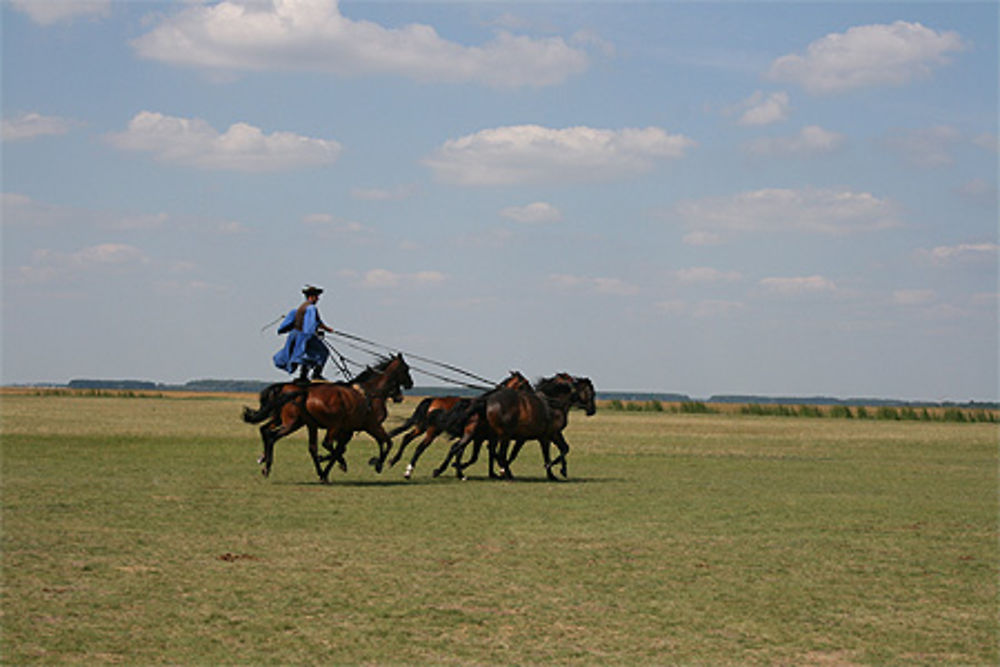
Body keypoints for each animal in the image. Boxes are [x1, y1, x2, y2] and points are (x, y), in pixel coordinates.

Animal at [240, 354, 412, 480]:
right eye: (406, 369)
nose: (402, 394)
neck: (372, 392)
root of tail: (300, 390)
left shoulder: (349, 430)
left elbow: (344, 448)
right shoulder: (371, 426)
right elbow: (387, 443)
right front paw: (378, 463)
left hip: (303, 424)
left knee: (305, 445)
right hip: (301, 424)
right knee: (274, 436)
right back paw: (269, 465)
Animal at [386, 370, 536, 480]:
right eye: (525, 383)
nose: (533, 395)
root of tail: (433, 400)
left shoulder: (480, 437)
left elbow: (468, 453)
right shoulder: (483, 437)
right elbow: (482, 454)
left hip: (422, 427)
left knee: (407, 438)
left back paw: (395, 461)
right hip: (433, 431)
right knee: (420, 447)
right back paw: (409, 471)